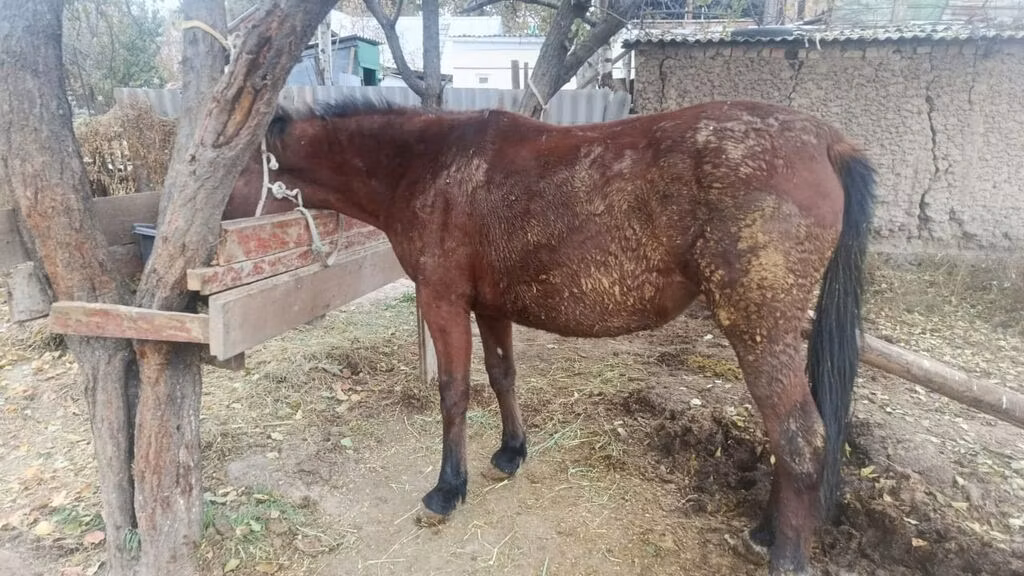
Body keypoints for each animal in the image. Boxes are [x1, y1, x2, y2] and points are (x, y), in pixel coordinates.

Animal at [225, 97, 876, 576]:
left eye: (229, 174)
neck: (424, 163)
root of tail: (825, 140)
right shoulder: (489, 306)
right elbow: (502, 375)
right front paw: (511, 453)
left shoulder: (443, 301)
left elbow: (454, 394)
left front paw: (447, 490)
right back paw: (767, 531)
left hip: (758, 330)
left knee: (799, 436)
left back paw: (784, 553)